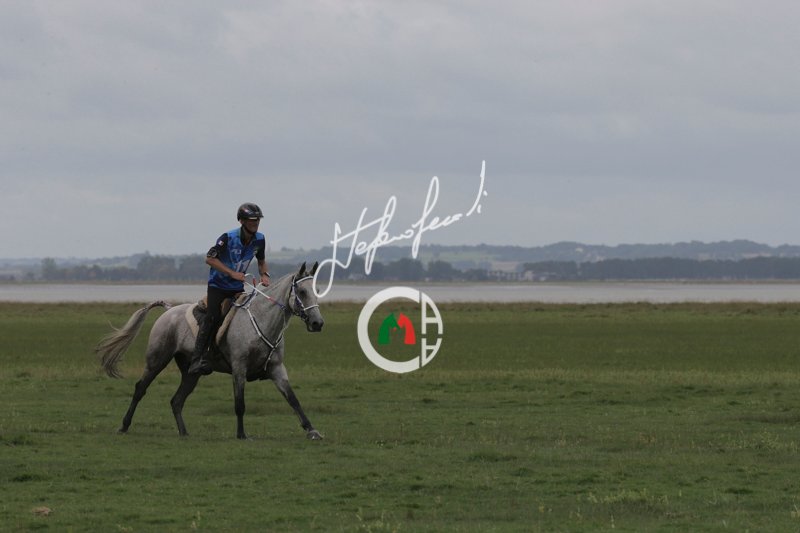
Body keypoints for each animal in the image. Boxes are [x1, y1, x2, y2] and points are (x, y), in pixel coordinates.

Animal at [95, 262, 324, 440]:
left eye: (316, 291)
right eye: (302, 292)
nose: (317, 323)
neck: (262, 319)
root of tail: (169, 310)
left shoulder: (277, 369)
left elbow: (293, 399)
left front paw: (312, 430)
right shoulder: (239, 368)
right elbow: (240, 404)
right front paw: (242, 435)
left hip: (191, 372)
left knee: (176, 400)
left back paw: (184, 433)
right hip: (157, 361)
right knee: (140, 389)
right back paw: (124, 426)